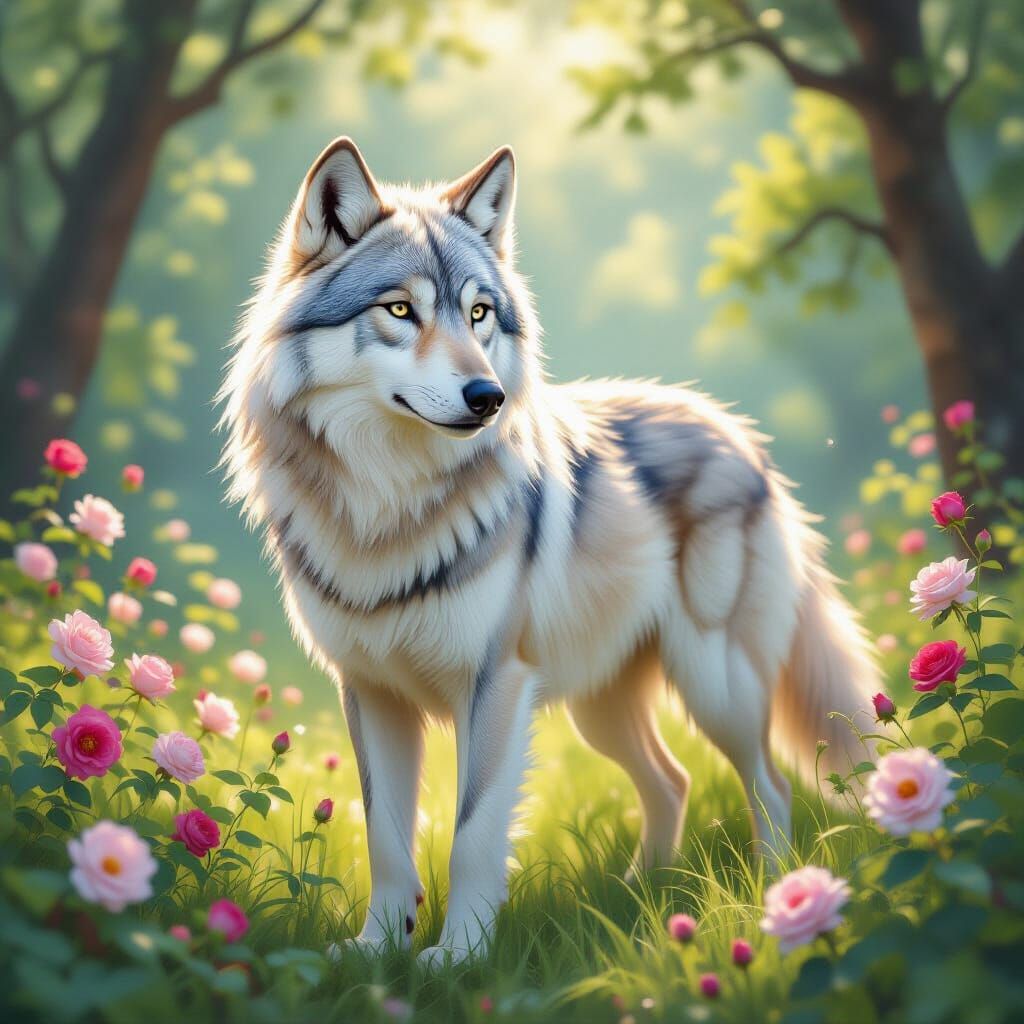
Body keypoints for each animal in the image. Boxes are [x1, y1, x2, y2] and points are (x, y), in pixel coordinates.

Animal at [220, 137, 879, 964]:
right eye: (400, 310)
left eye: (479, 313)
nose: (487, 397)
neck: (387, 506)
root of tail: (736, 431)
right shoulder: (369, 694)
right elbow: (387, 840)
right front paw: (376, 949)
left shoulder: (494, 686)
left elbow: (472, 835)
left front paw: (456, 959)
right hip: (602, 709)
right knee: (672, 782)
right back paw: (639, 894)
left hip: (713, 683)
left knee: (771, 784)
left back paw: (775, 896)